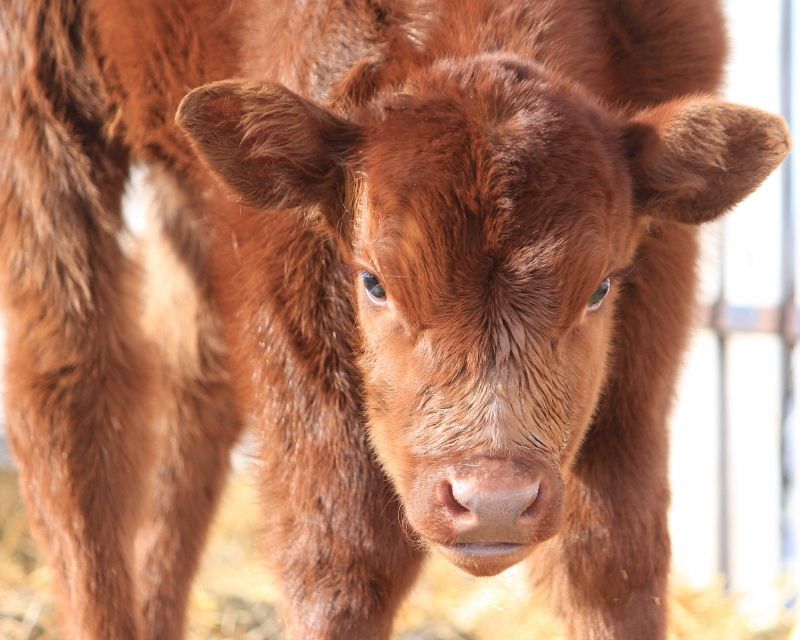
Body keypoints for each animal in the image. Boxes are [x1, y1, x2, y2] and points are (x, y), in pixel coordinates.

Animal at [0, 0, 790, 638]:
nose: (493, 502)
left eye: (598, 290)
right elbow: (343, 556)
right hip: (40, 113)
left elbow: (612, 558)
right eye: (375, 283)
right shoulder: (282, 277)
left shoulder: (654, 298)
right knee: (71, 392)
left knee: (184, 388)